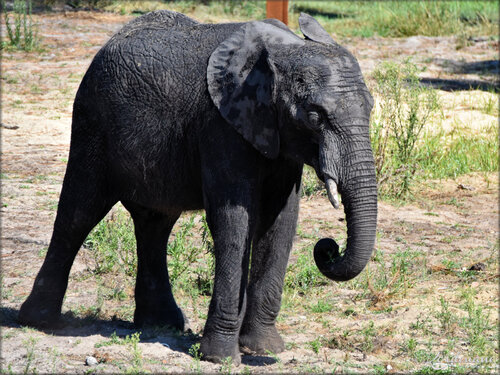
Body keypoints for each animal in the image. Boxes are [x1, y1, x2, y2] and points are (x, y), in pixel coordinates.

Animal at [20, 11, 378, 364]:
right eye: (315, 117)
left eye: (371, 107)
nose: (327, 248)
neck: (283, 50)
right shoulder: (220, 125)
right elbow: (233, 221)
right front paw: (221, 358)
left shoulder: (277, 136)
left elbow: (281, 221)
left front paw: (265, 349)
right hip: (92, 121)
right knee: (78, 212)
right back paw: (38, 322)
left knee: (155, 224)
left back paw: (161, 324)